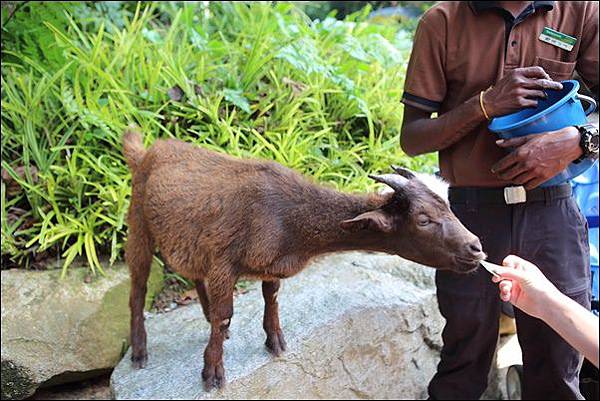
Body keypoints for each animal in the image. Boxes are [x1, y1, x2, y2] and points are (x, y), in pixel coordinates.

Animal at [124, 128, 486, 390]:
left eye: (448, 205)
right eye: (423, 219)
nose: (476, 247)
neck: (290, 219)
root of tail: (144, 153)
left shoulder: (266, 265)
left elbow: (271, 296)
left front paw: (275, 341)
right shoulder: (224, 260)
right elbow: (225, 314)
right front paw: (212, 372)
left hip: (188, 237)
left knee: (192, 272)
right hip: (138, 221)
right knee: (138, 286)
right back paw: (140, 351)